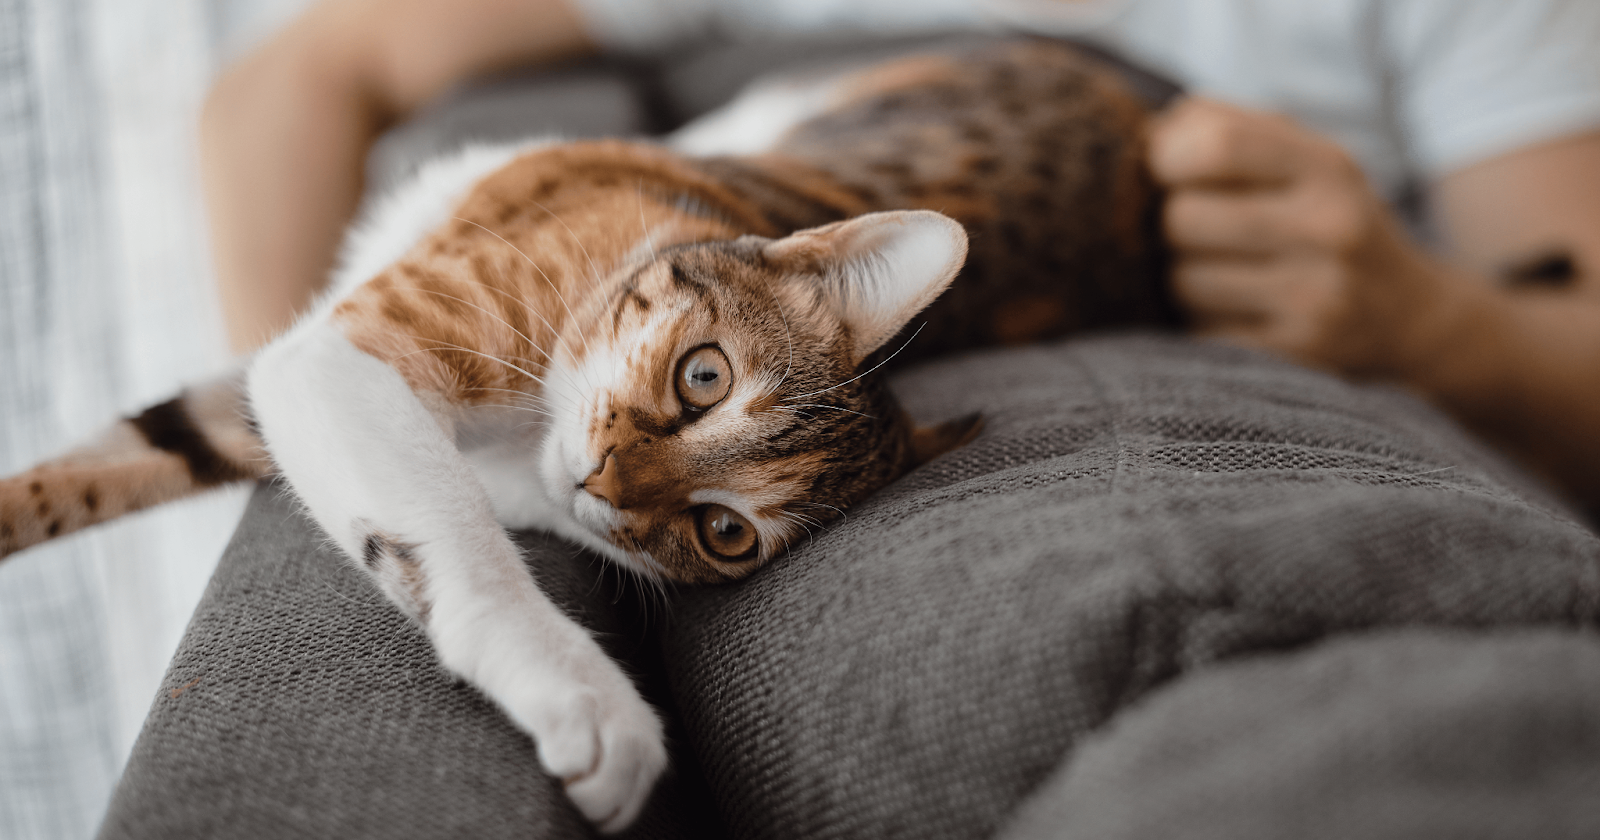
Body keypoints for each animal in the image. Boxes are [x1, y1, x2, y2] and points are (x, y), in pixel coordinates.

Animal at [0, 41, 1171, 832]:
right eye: (705, 376)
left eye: (723, 533)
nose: (606, 486)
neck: (524, 433)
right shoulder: (344, 349)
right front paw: (578, 687)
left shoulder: (288, 386)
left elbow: (143, 451)